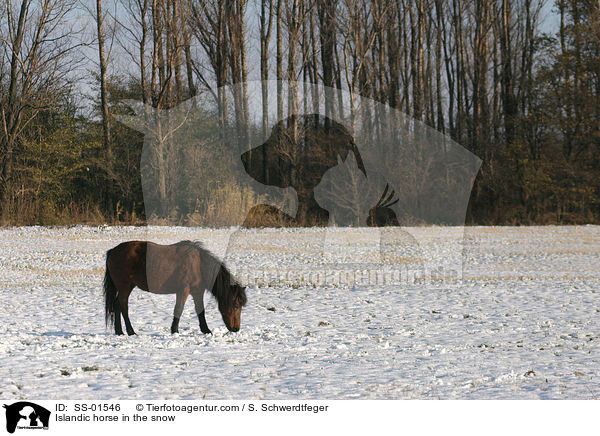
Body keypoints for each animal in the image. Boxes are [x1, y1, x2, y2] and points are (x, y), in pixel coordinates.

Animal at [103, 240, 246, 336]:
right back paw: (130, 331)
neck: (198, 264)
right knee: (123, 306)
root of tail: (113, 251)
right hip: (125, 287)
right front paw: (175, 330)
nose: (236, 329)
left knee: (116, 305)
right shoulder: (183, 290)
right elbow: (179, 309)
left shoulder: (197, 292)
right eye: (236, 306)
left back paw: (119, 331)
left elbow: (200, 311)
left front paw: (206, 330)